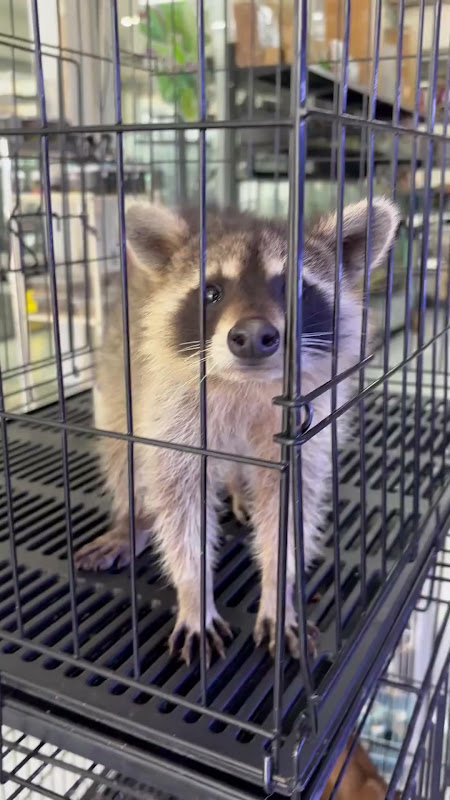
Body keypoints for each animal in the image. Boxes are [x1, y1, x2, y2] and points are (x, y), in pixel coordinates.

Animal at [75, 198, 399, 664]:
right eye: (212, 292)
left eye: (295, 290)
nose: (253, 336)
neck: (247, 384)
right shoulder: (174, 409)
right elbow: (181, 505)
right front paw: (194, 593)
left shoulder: (308, 423)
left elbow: (289, 508)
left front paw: (279, 592)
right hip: (118, 365)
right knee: (121, 443)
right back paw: (131, 519)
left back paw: (237, 490)